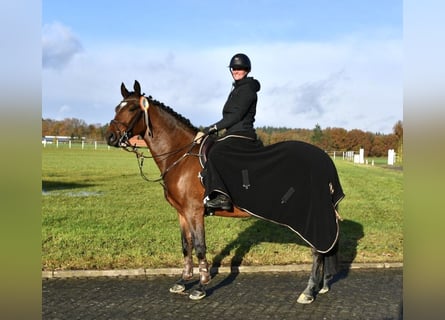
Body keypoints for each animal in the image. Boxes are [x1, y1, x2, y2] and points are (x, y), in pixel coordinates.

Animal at [106, 80, 342, 304]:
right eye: (117, 107)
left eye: (132, 108)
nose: (110, 137)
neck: (180, 156)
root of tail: (324, 159)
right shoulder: (182, 213)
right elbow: (186, 246)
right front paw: (183, 281)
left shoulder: (194, 212)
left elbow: (200, 247)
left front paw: (201, 287)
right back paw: (320, 286)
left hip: (312, 216)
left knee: (317, 251)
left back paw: (308, 291)